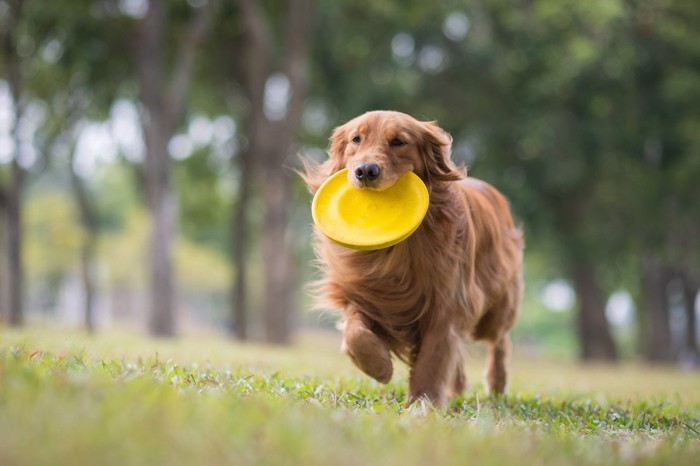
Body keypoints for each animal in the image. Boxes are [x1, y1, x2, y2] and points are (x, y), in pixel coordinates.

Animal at [304, 110, 524, 408]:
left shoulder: (446, 302)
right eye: (356, 139)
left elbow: (433, 357)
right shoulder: (364, 293)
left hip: (494, 307)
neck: (397, 250)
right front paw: (379, 366)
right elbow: (355, 333)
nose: (365, 171)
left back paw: (496, 383)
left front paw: (423, 401)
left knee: (499, 340)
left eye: (399, 141)